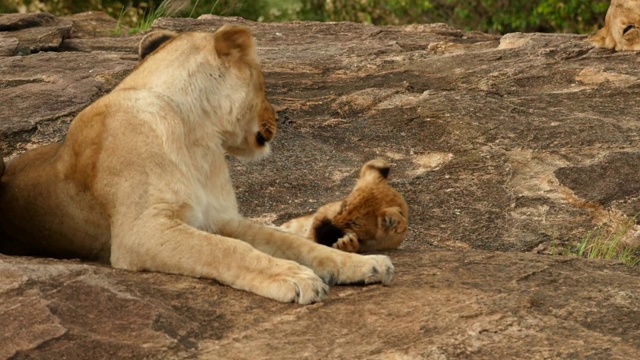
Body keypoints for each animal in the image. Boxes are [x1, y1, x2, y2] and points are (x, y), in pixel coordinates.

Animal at [0, 24, 396, 304]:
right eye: (264, 83)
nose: (278, 119)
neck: (197, 133)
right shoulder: (142, 230)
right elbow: (227, 250)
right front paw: (294, 278)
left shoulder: (222, 218)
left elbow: (294, 245)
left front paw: (364, 264)